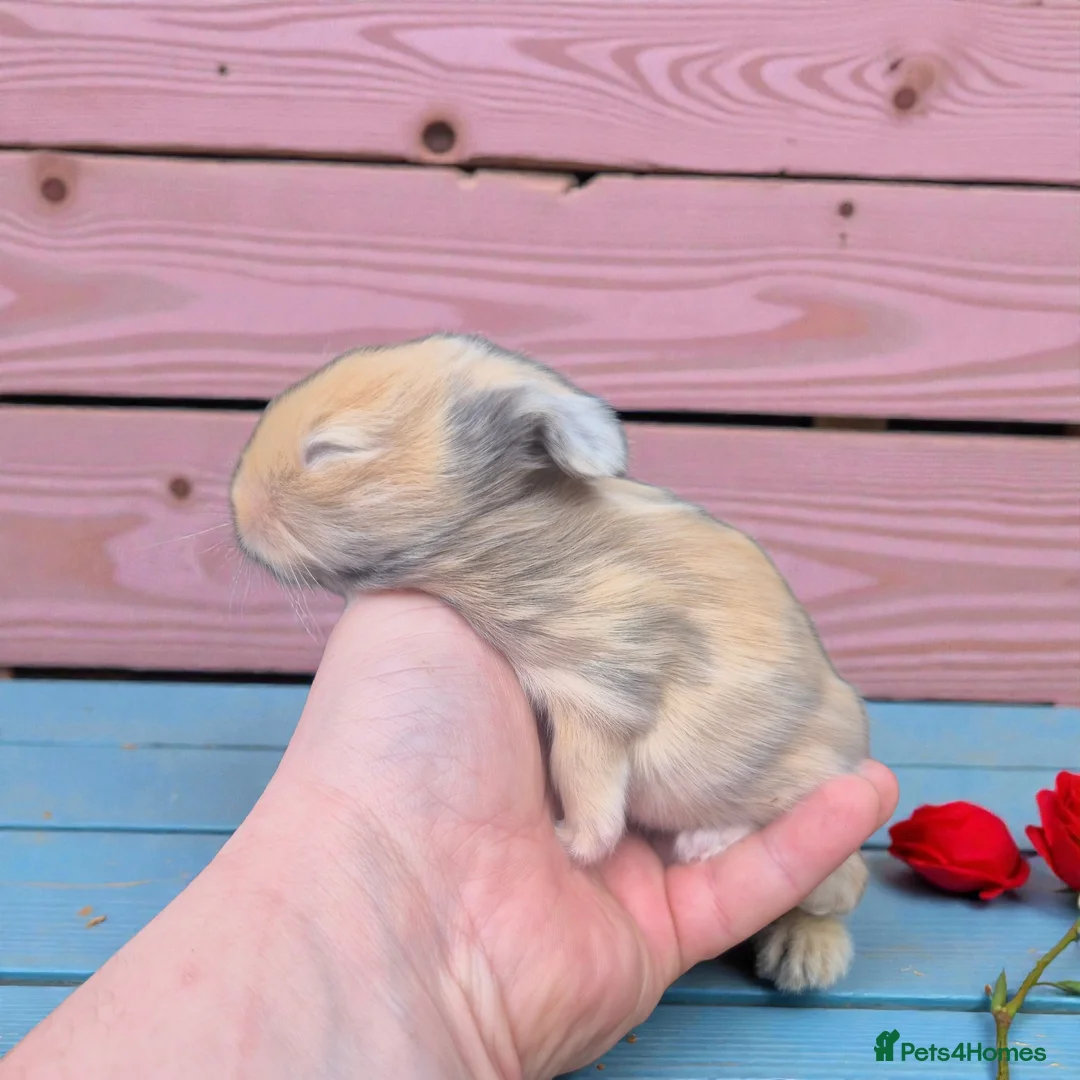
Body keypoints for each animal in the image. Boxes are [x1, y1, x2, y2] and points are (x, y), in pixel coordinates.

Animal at [229, 332, 871, 993]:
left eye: (330, 450)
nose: (237, 508)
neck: (505, 534)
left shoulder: (602, 686)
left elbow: (585, 781)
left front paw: (571, 845)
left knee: (838, 881)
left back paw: (727, 861)